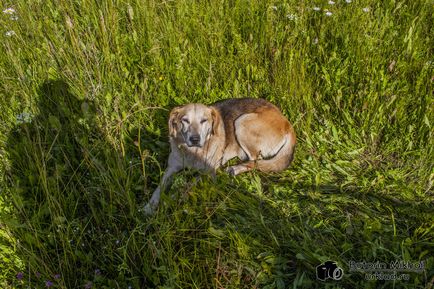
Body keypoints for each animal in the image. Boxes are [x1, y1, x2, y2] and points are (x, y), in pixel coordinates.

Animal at [144, 98, 296, 213]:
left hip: (242, 121)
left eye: (204, 120)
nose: (195, 139)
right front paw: (149, 207)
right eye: (185, 120)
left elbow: (185, 186)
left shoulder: (208, 173)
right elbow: (159, 188)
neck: (193, 153)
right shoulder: (171, 168)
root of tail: (287, 123)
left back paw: (235, 168)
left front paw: (169, 200)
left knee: (255, 160)